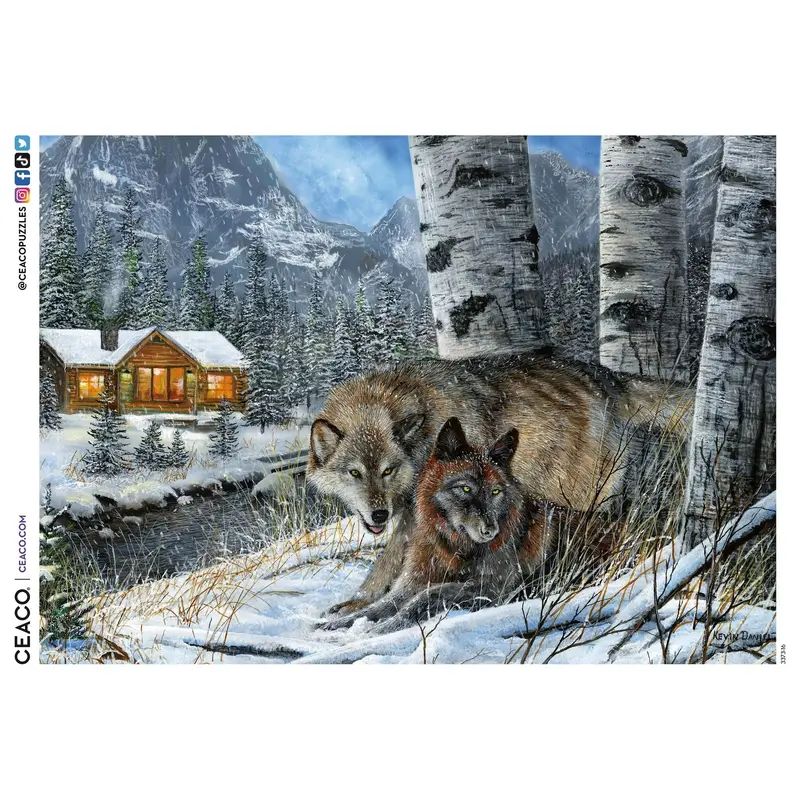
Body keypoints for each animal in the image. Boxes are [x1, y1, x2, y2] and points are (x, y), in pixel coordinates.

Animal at [322, 416, 572, 633]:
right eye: (466, 489)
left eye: (495, 492)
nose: (491, 530)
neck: (452, 548)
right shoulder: (412, 582)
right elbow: (380, 605)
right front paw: (337, 623)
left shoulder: (493, 588)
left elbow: (428, 595)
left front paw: (383, 628)